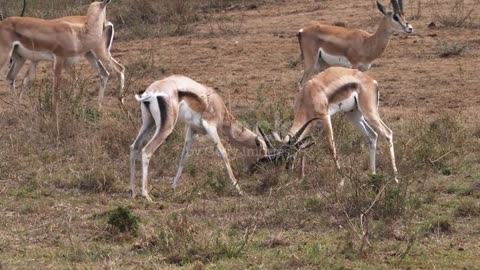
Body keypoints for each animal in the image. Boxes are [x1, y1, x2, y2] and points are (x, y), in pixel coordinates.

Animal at [129, 75, 276, 201]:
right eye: (262, 153)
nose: (251, 171)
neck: (218, 105)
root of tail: (151, 91)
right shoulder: (210, 127)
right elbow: (223, 153)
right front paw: (238, 189)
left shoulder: (191, 130)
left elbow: (184, 157)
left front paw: (173, 187)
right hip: (166, 127)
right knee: (146, 151)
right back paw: (146, 195)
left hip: (148, 123)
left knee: (134, 147)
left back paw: (132, 192)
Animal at [260, 67, 400, 185]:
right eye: (277, 160)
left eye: (288, 156)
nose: (286, 171)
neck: (308, 94)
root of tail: (372, 81)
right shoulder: (310, 124)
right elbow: (303, 148)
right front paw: (301, 178)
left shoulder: (325, 117)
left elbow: (331, 147)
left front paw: (341, 180)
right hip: (353, 114)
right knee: (372, 135)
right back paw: (372, 174)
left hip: (369, 112)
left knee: (388, 133)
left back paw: (395, 178)